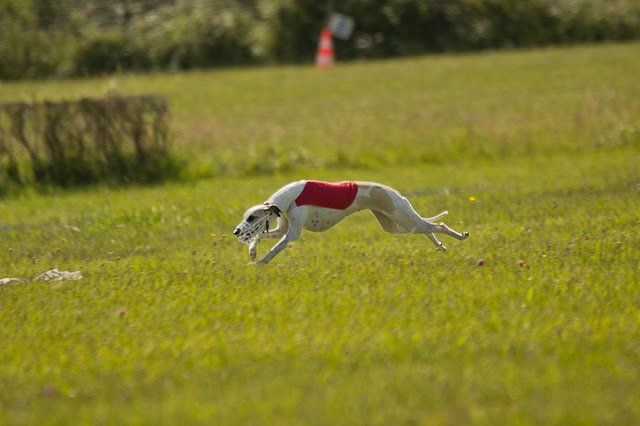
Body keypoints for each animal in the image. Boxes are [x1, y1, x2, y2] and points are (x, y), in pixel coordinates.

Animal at [232, 179, 468, 262]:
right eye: (245, 217)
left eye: (252, 217)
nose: (236, 232)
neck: (289, 198)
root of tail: (396, 193)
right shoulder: (282, 229)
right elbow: (261, 236)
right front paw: (252, 251)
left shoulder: (292, 233)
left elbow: (275, 249)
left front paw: (258, 263)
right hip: (394, 224)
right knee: (428, 228)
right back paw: (441, 246)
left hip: (404, 218)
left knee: (437, 225)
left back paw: (459, 236)